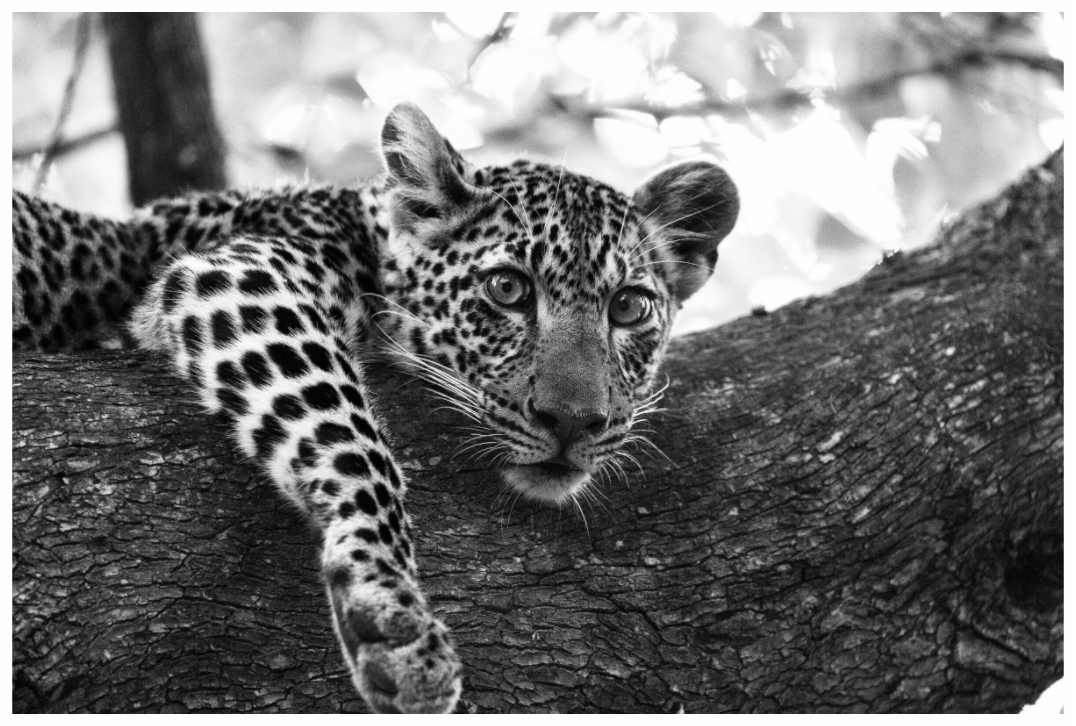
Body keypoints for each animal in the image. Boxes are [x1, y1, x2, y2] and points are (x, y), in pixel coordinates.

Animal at [12, 102, 739, 713]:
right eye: (507, 289)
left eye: (629, 307)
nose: (573, 420)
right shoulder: (241, 274)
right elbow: (353, 440)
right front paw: (389, 604)